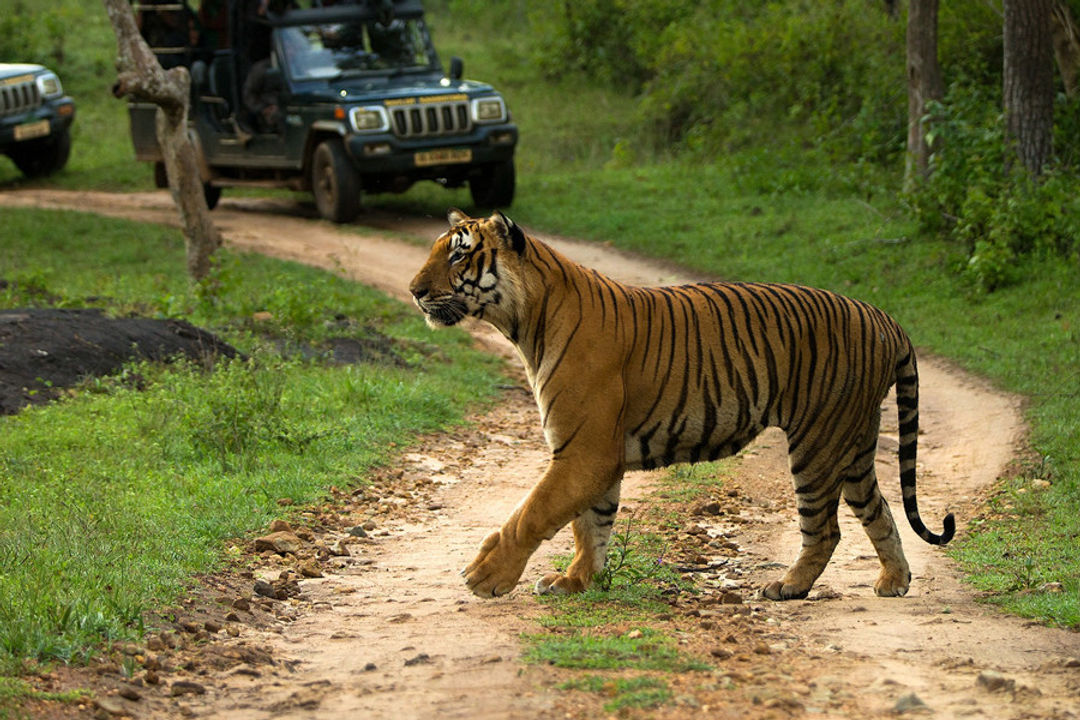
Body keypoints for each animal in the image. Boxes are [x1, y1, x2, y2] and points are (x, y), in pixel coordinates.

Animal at [406, 209, 954, 604]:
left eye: (458, 257)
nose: (414, 292)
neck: (525, 321)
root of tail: (883, 317)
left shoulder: (583, 451)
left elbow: (533, 513)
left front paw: (486, 575)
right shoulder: (591, 453)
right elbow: (590, 525)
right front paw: (576, 582)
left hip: (818, 442)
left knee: (825, 529)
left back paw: (788, 587)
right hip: (853, 443)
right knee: (880, 512)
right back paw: (894, 581)